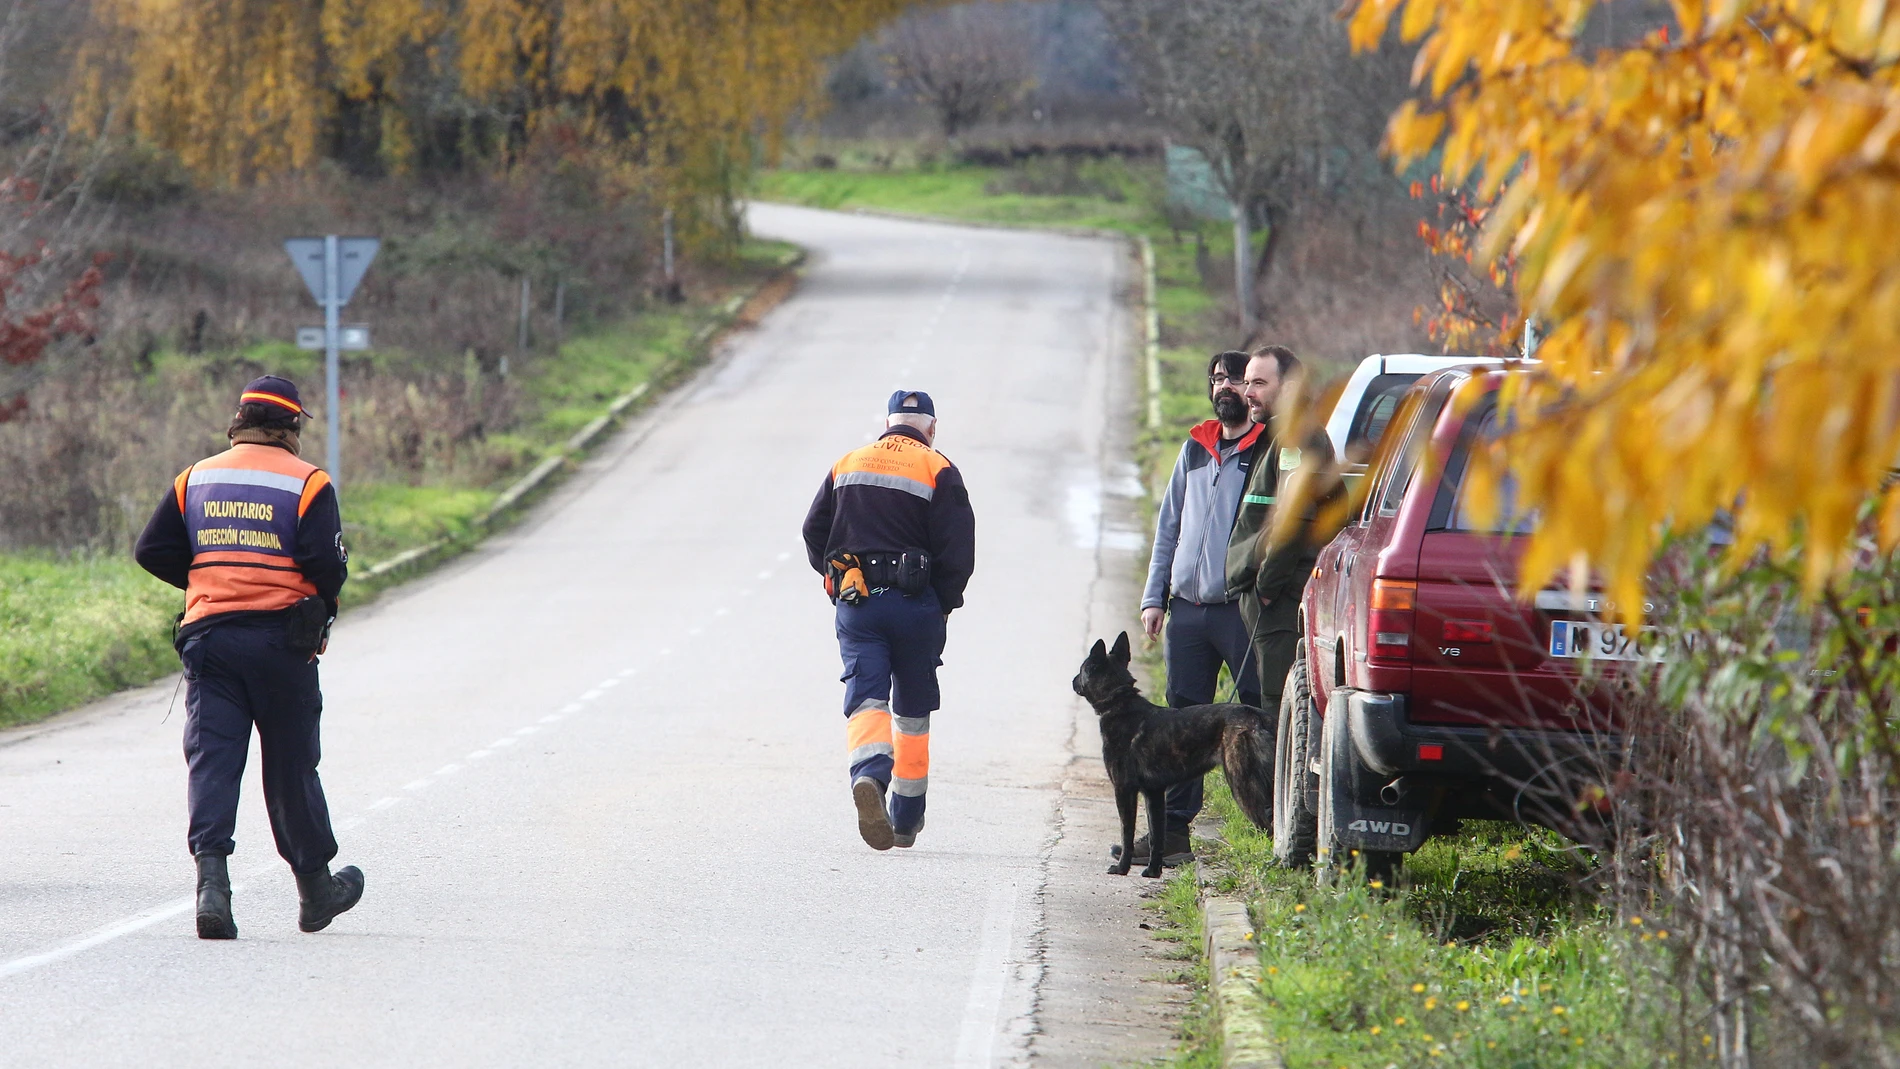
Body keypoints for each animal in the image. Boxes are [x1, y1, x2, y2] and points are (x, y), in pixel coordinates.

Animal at [1071, 630, 1276, 873]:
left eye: (1082, 669)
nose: (1073, 680)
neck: (1119, 700)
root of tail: (1258, 716)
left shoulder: (1124, 790)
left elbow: (1126, 834)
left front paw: (1122, 868)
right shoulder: (1154, 794)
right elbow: (1156, 836)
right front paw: (1153, 871)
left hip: (1243, 786)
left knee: (1269, 827)